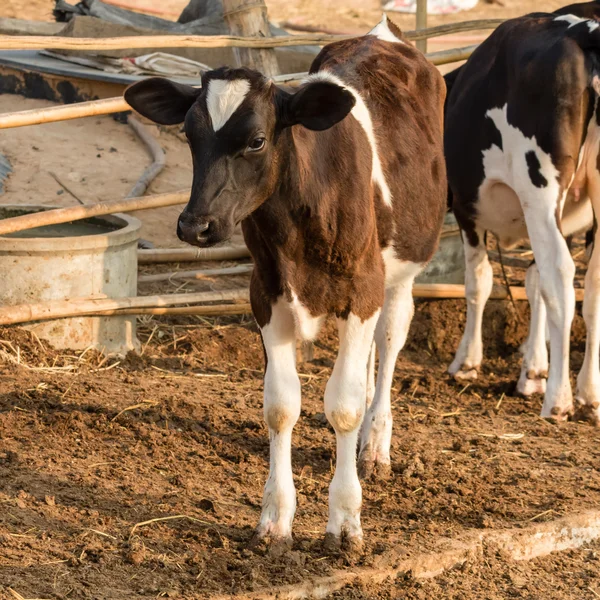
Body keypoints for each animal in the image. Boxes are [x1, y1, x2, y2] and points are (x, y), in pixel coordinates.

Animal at [124, 15, 448, 548]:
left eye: (256, 140)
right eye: (189, 135)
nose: (195, 226)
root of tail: (383, 33)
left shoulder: (362, 290)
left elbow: (344, 406)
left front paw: (345, 522)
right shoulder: (266, 294)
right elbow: (280, 406)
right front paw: (275, 519)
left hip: (401, 270)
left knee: (390, 340)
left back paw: (375, 445)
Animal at [442, 1, 600, 422]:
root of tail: (587, 28)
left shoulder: (467, 207)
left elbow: (479, 282)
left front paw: (467, 362)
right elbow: (533, 283)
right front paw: (533, 371)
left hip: (539, 188)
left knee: (560, 275)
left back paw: (559, 400)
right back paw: (589, 393)